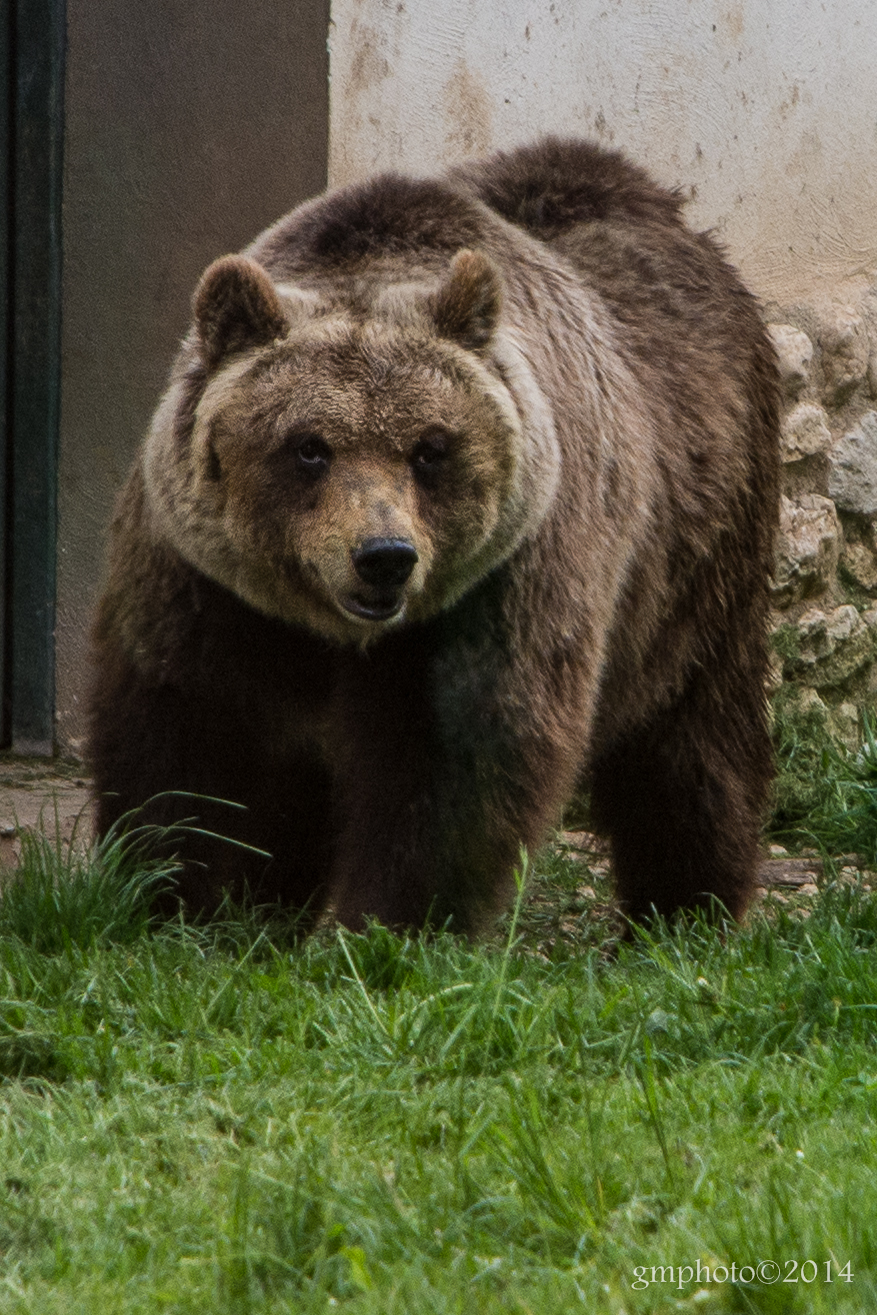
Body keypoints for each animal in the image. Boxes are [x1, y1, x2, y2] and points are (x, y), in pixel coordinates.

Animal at [87, 136, 780, 934]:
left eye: (430, 447)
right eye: (309, 446)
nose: (384, 558)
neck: (335, 632)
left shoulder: (497, 585)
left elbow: (450, 765)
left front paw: (398, 922)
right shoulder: (209, 586)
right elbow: (195, 739)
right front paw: (197, 902)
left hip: (698, 547)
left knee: (691, 741)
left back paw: (685, 909)